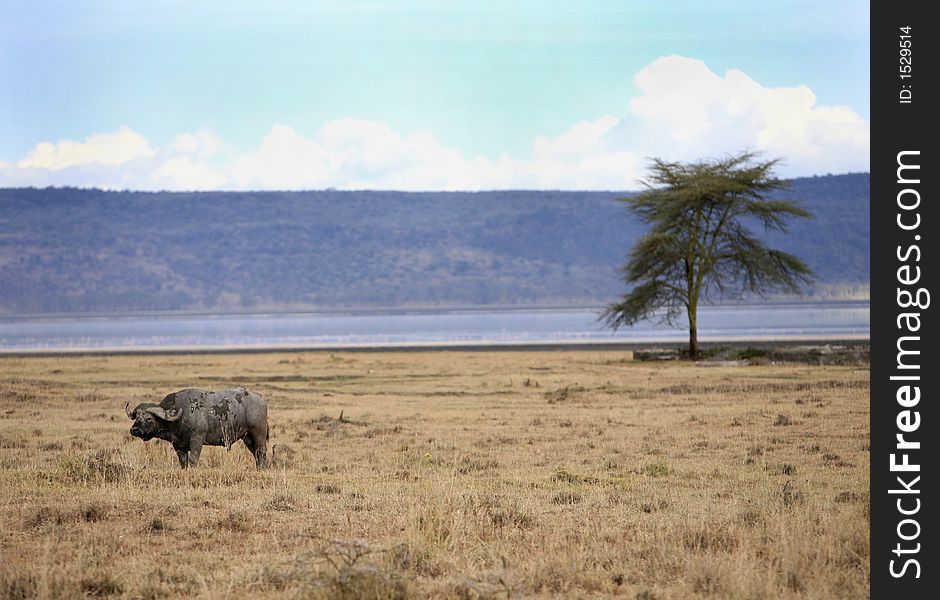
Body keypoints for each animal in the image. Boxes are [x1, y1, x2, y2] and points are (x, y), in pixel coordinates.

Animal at [125, 386, 268, 472]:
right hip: (247, 437)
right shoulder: (178, 445)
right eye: (136, 416)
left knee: (261, 452)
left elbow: (193, 459)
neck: (181, 415)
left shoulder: (197, 440)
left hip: (258, 434)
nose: (134, 430)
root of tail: (260, 397)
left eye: (149, 418)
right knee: (255, 453)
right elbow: (183, 462)